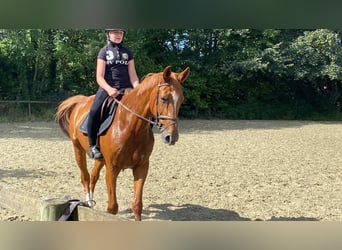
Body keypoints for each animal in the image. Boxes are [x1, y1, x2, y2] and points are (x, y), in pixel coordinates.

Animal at [55, 65, 190, 220]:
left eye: (181, 100)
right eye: (164, 98)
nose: (171, 137)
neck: (130, 126)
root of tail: (80, 102)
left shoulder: (141, 167)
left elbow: (137, 205)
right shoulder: (112, 168)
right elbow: (112, 207)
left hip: (100, 159)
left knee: (94, 177)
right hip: (78, 150)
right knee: (85, 177)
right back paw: (88, 202)